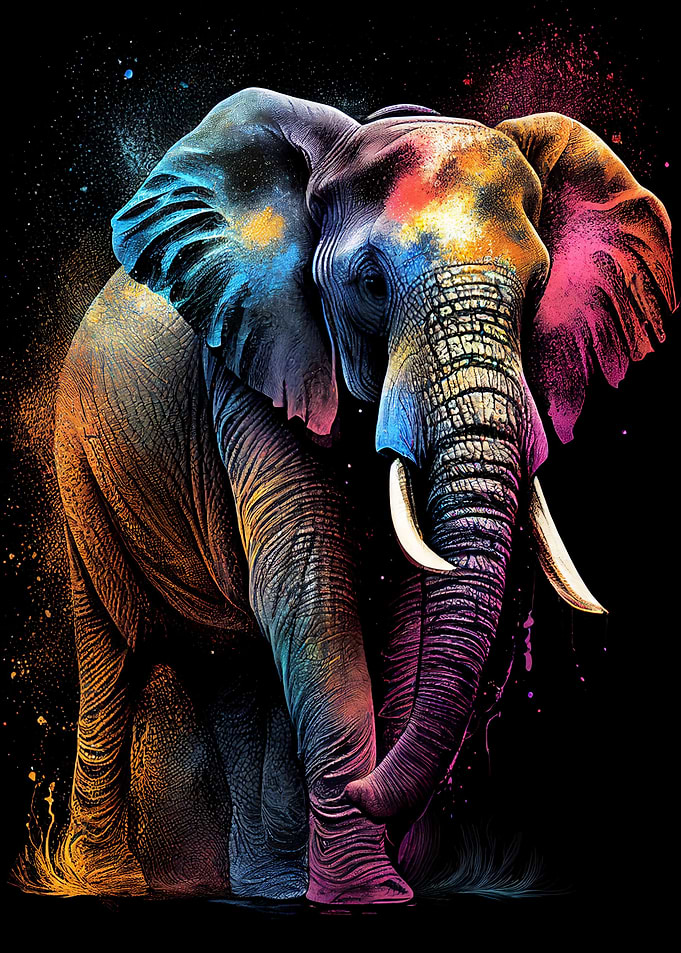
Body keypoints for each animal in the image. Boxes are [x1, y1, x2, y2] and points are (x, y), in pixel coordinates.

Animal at [41, 88, 673, 904]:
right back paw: (107, 883)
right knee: (113, 655)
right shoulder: (254, 357)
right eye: (370, 286)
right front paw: (368, 894)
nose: (364, 789)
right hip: (81, 469)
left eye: (536, 292)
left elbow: (408, 604)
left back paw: (271, 884)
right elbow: (308, 580)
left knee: (235, 666)